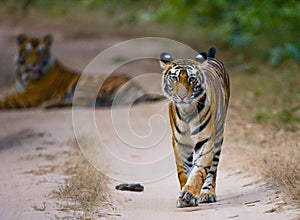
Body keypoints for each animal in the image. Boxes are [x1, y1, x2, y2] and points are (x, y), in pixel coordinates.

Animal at [0, 34, 162, 108]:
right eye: (28, 52)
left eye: (40, 53)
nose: (33, 64)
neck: (22, 74)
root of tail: (137, 85)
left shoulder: (30, 95)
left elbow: (6, 99)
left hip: (87, 87)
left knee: (82, 104)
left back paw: (49, 105)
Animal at [162, 48, 230, 208]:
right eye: (174, 78)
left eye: (192, 79)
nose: (182, 96)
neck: (187, 112)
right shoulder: (180, 143)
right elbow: (183, 171)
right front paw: (184, 196)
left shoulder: (205, 141)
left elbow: (199, 170)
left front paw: (189, 195)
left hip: (218, 138)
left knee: (212, 170)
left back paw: (207, 194)